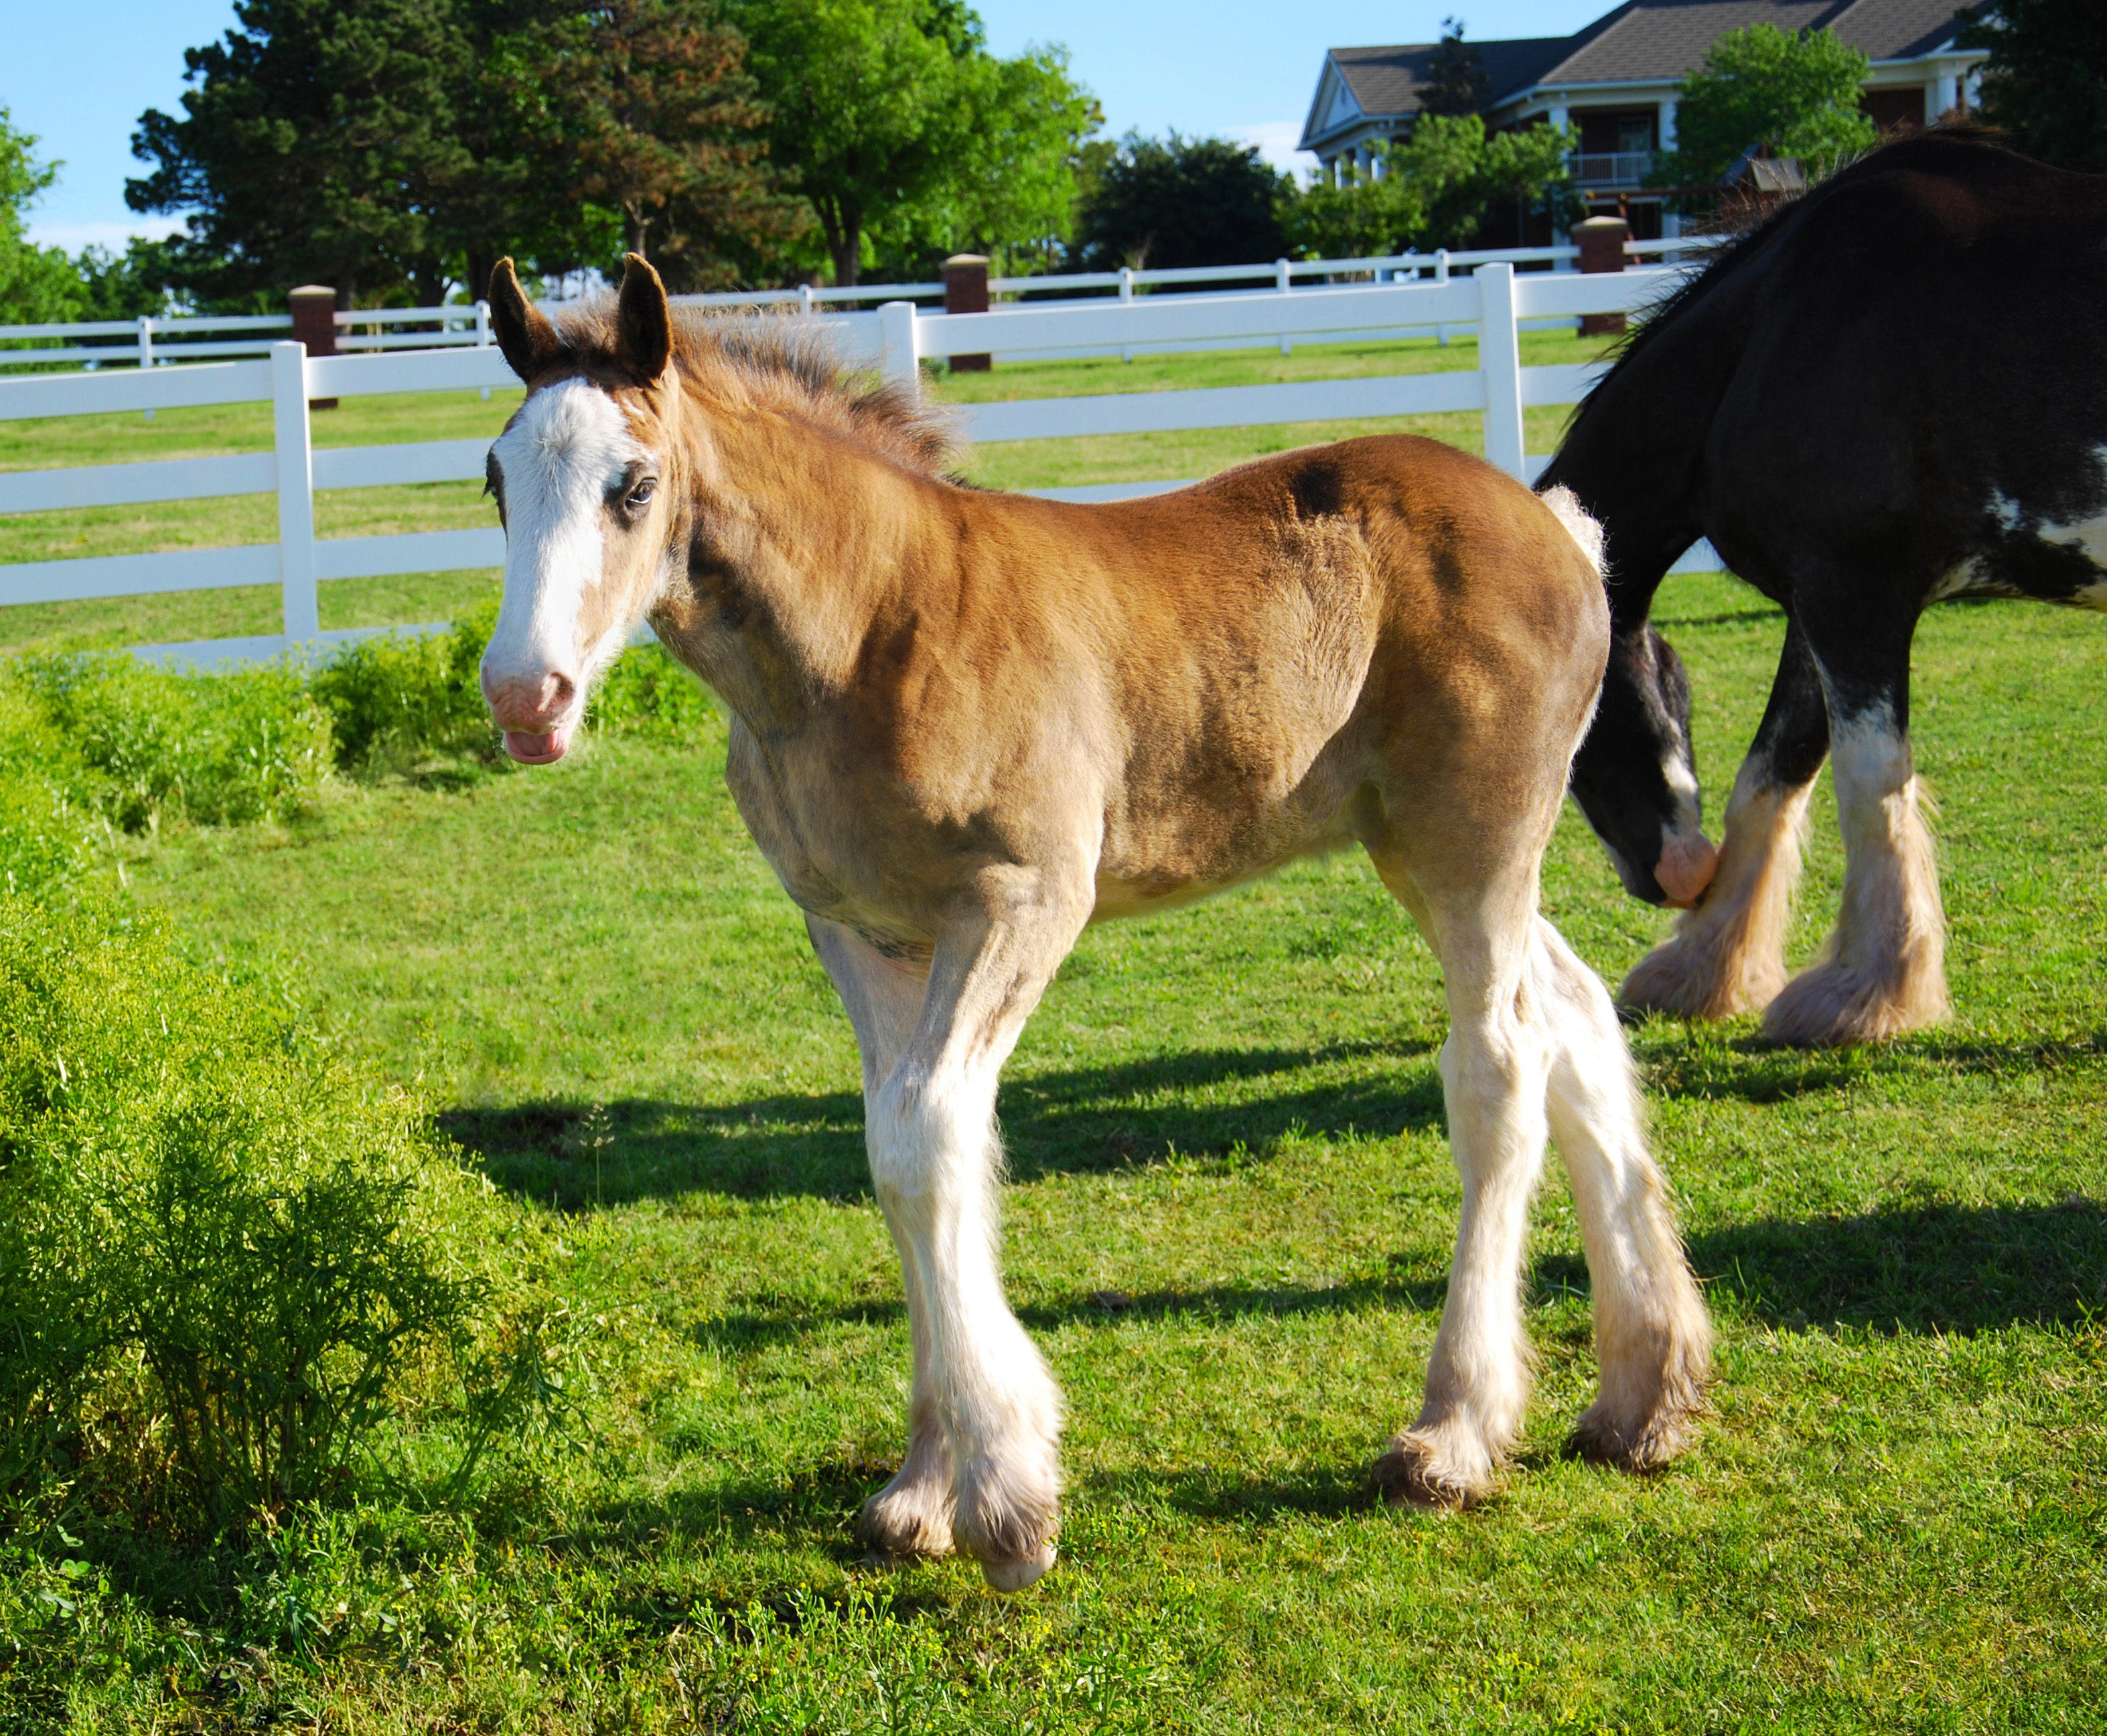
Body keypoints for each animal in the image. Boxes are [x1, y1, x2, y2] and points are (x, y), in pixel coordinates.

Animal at [474, 253, 1712, 1590]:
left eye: (633, 485)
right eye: (494, 481)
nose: (525, 696)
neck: (871, 628)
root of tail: (1558, 528)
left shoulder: (1022, 899)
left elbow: (925, 1134)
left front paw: (1008, 1501)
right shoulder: (863, 933)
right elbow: (906, 1146)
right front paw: (920, 1489)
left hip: (1468, 843)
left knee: (1497, 1066)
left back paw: (1453, 1435)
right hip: (1439, 853)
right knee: (1578, 1018)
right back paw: (1645, 1396)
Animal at [1542, 131, 2107, 1048]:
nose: (1679, 872)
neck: (1771, 333)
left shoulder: (1855, 597)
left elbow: (1868, 781)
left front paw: (1866, 992)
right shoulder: (1814, 604)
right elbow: (1772, 771)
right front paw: (1701, 969)